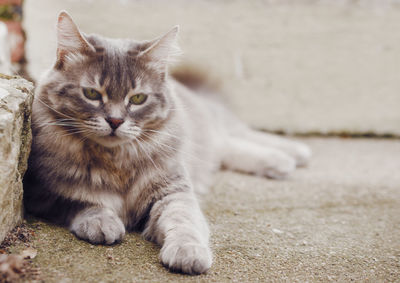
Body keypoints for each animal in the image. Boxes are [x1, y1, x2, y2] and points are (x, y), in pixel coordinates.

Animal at [24, 11, 312, 276]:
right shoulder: (42, 193)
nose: (115, 121)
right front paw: (101, 221)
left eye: (137, 98)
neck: (115, 161)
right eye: (92, 94)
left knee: (239, 135)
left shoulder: (173, 192)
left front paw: (188, 253)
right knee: (228, 149)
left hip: (216, 127)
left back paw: (292, 155)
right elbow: (80, 202)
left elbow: (184, 222)